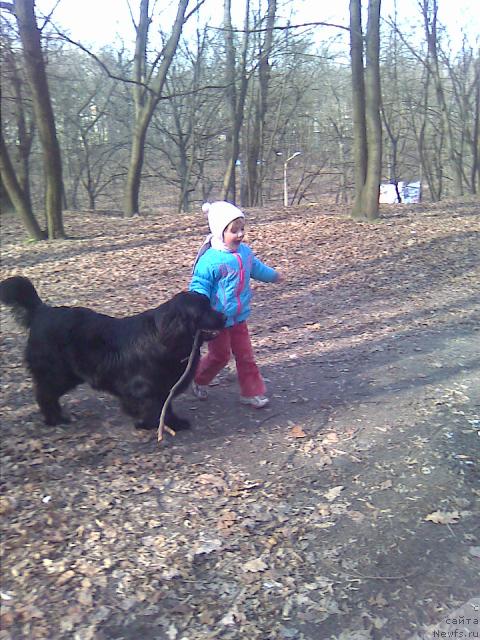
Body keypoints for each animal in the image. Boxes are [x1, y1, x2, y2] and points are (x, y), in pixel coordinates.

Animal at [0, 278, 225, 432]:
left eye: (209, 304)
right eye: (202, 312)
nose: (223, 316)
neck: (165, 337)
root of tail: (41, 311)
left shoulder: (163, 386)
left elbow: (165, 406)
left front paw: (172, 422)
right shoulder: (144, 386)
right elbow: (151, 405)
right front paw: (149, 423)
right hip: (57, 373)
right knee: (45, 394)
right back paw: (55, 419)